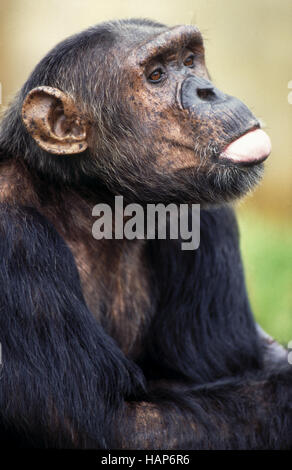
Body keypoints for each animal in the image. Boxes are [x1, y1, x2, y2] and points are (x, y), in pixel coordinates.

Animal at [0, 18, 290, 450]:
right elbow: (118, 422)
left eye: (188, 60)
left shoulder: (203, 216)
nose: (207, 91)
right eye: (156, 76)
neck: (94, 201)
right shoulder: (15, 241)